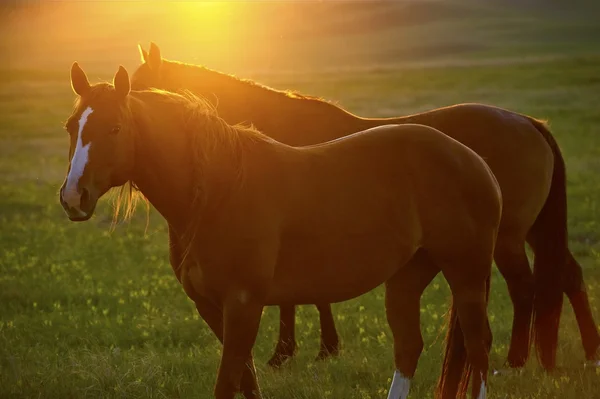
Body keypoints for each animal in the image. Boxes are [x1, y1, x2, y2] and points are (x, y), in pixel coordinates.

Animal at [61, 64, 502, 398]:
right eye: (70, 127)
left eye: (116, 128)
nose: (72, 196)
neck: (219, 191)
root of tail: (472, 158)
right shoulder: (211, 308)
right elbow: (247, 383)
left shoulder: (243, 305)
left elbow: (228, 384)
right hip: (408, 276)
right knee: (409, 348)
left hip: (466, 273)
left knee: (478, 349)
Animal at [131, 42, 600, 374]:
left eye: (138, 91)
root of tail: (528, 122)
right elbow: (307, 296)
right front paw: (317, 348)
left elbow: (296, 300)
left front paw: (292, 351)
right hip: (534, 231)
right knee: (568, 275)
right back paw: (586, 352)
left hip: (506, 238)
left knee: (525, 288)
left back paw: (517, 359)